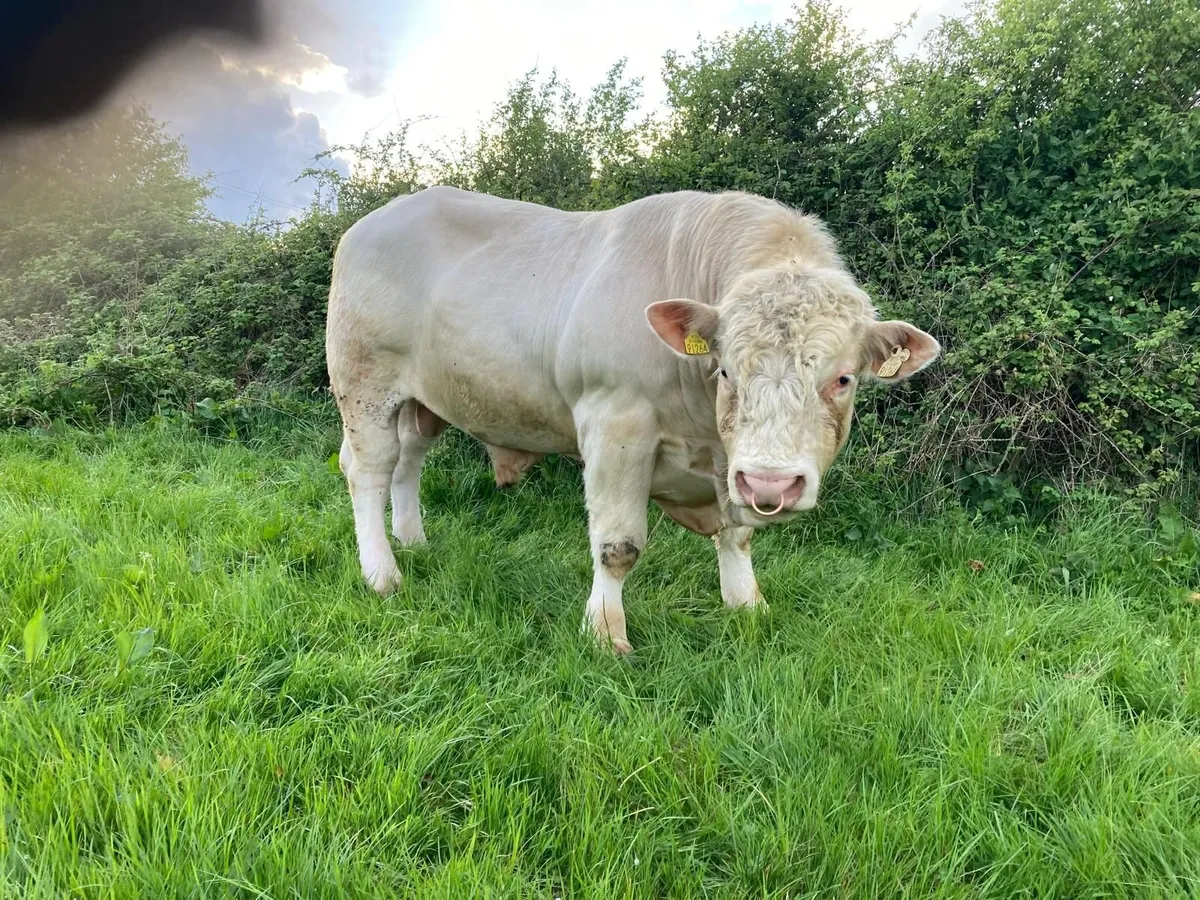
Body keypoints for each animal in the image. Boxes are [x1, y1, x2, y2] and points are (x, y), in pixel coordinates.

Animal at [326, 186, 940, 654]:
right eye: (725, 371)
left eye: (843, 379)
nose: (772, 483)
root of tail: (375, 218)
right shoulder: (615, 424)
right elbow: (617, 546)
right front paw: (605, 634)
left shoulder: (728, 463)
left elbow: (738, 534)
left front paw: (747, 605)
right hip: (364, 384)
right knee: (369, 470)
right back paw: (382, 573)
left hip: (422, 400)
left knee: (409, 462)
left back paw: (413, 542)